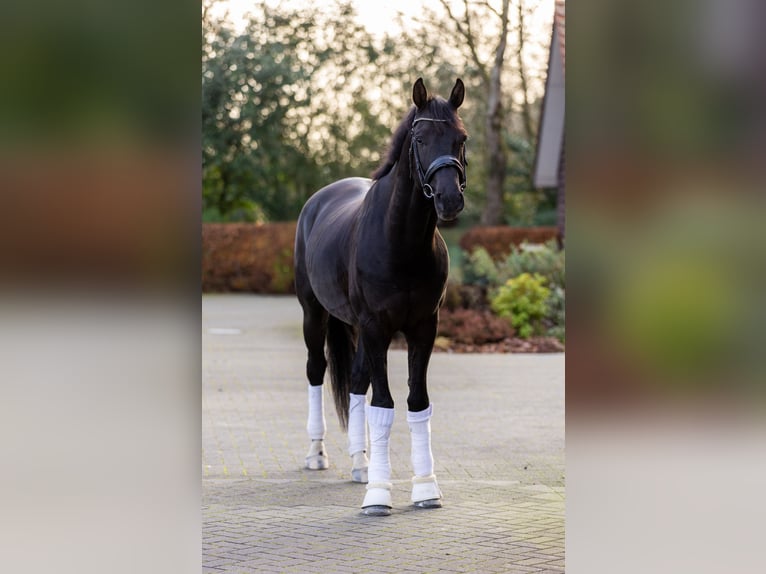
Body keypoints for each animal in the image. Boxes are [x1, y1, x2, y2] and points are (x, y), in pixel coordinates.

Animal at [294, 78, 467, 516]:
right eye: (420, 139)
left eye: (461, 138)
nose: (450, 199)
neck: (400, 243)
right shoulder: (376, 327)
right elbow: (384, 405)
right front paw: (378, 496)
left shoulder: (423, 327)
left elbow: (416, 402)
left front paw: (425, 488)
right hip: (314, 314)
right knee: (316, 371)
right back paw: (317, 455)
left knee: (356, 382)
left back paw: (361, 462)